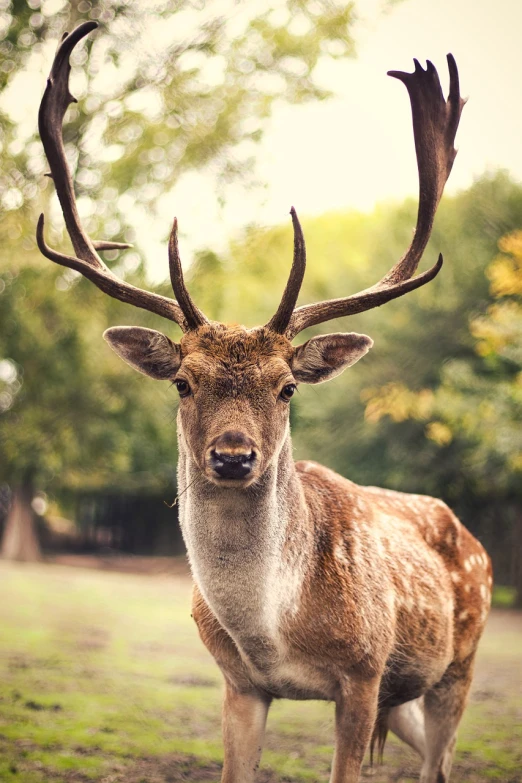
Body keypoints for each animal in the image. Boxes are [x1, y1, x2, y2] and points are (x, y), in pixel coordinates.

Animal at [37, 21, 492, 783]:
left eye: (287, 386)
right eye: (183, 381)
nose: (232, 455)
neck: (272, 632)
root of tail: (475, 540)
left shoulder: (363, 673)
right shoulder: (239, 683)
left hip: (456, 662)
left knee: (443, 761)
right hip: (405, 697)